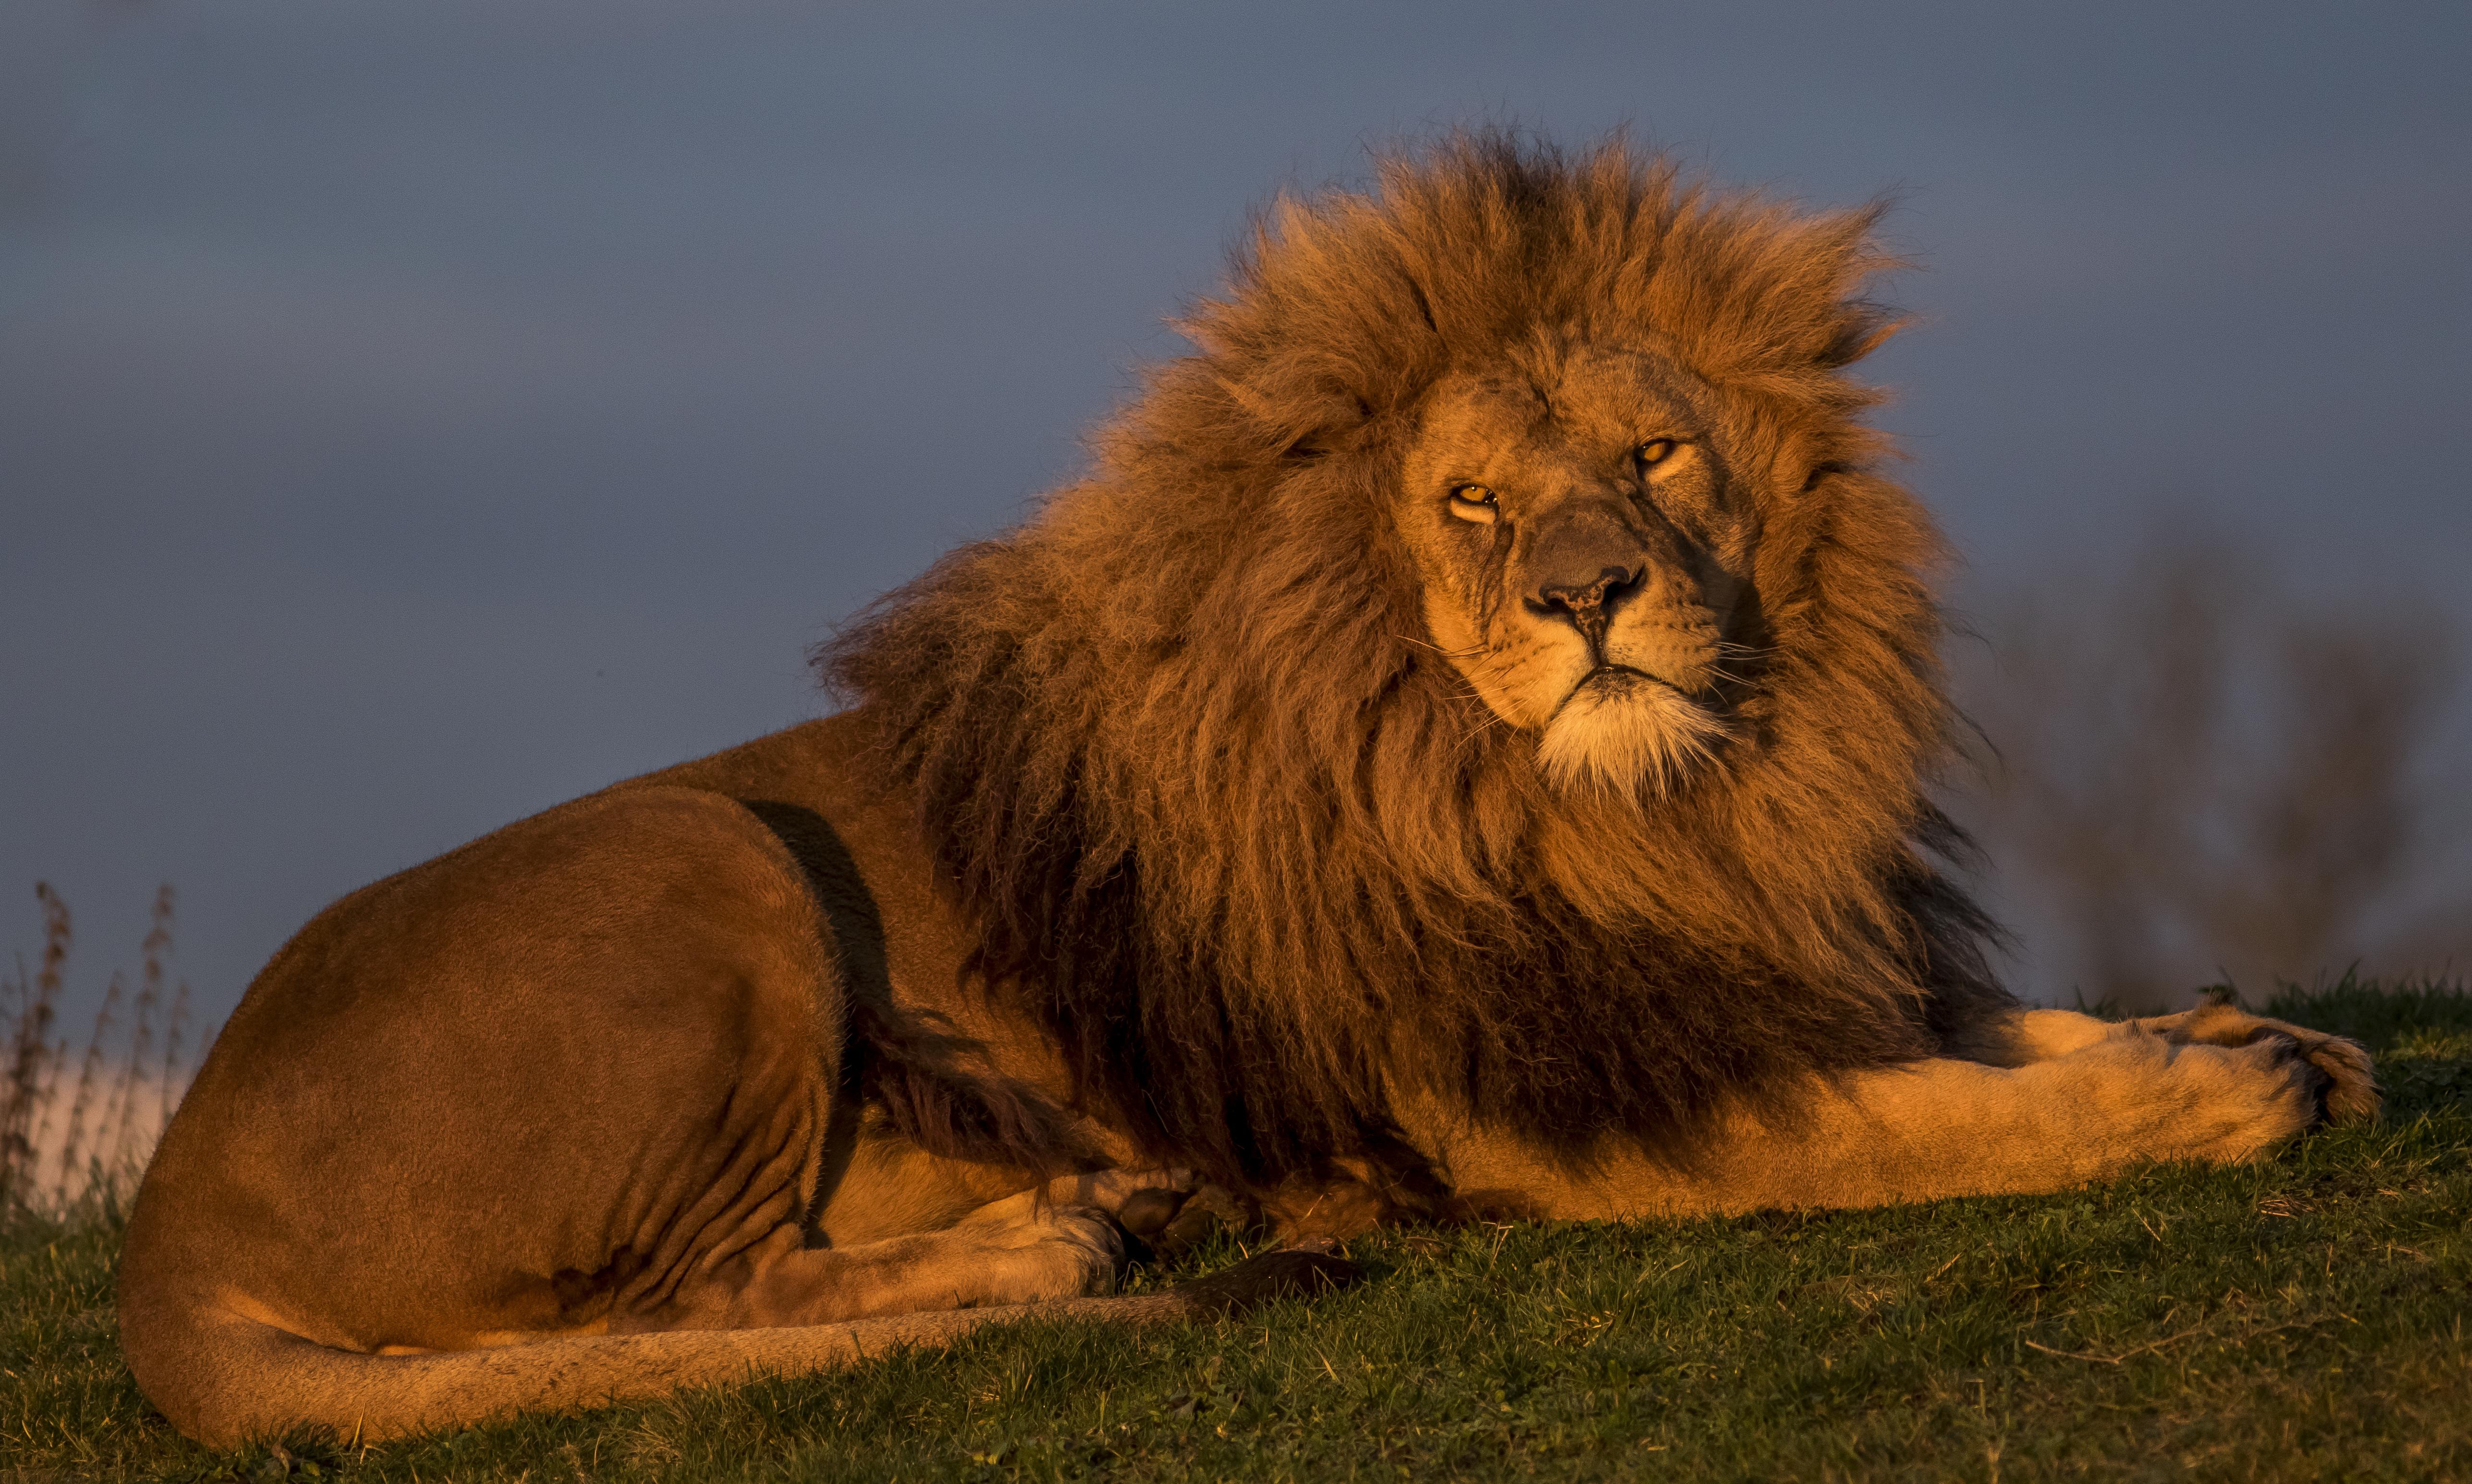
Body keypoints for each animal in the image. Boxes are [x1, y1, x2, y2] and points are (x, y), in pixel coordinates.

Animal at [120, 130, 2373, 1442]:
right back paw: (1054, 1247)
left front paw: (2244, 1029)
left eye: (1651, 457)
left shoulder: (1729, 979)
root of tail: (162, 1211)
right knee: (708, 1294)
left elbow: (1991, 1030)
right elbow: (1932, 1123)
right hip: (705, 854)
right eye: (1472, 502)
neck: (1635, 815)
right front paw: (2206, 1094)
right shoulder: (1551, 1113)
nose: (1586, 594)